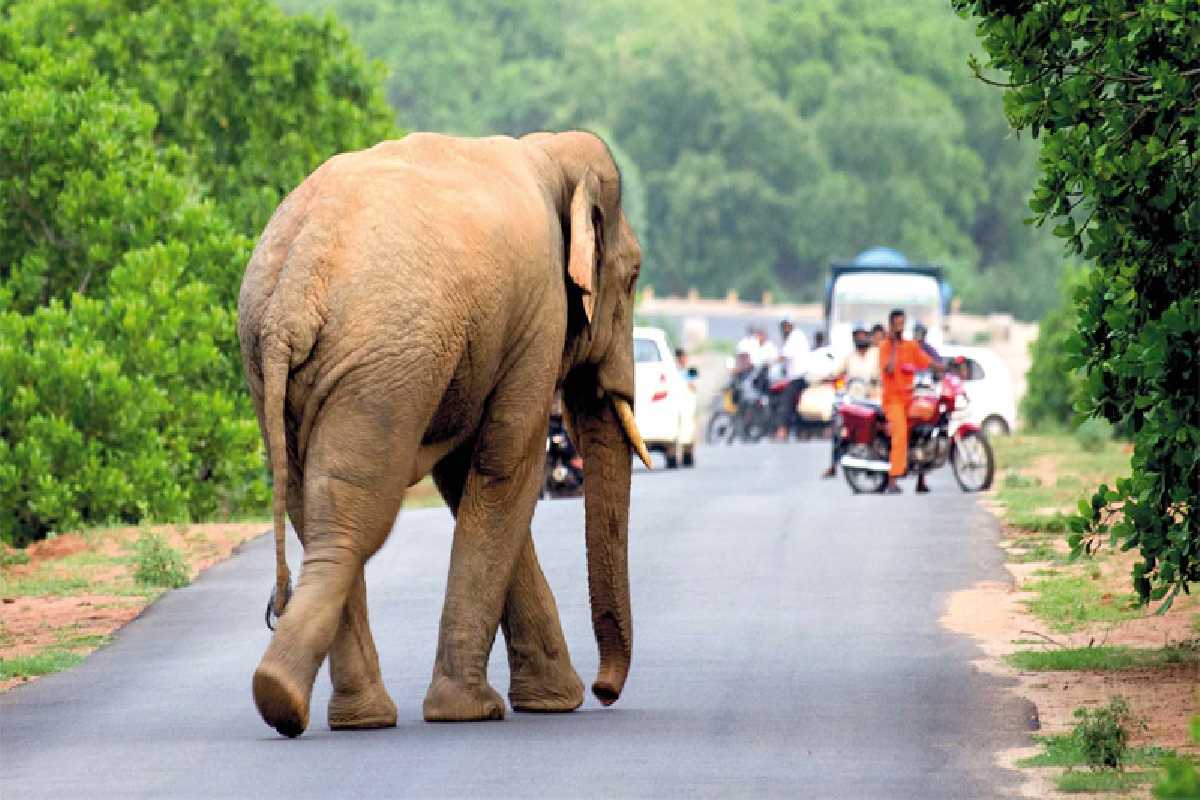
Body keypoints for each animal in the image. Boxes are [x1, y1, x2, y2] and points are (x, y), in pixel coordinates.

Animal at [237, 130, 652, 737]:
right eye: (633, 278)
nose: (604, 692)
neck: (548, 154)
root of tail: (293, 289)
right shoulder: (539, 316)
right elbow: (506, 467)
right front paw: (474, 711)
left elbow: (465, 479)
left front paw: (549, 702)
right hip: (383, 372)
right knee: (356, 518)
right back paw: (292, 701)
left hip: (280, 368)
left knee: (311, 504)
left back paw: (347, 716)